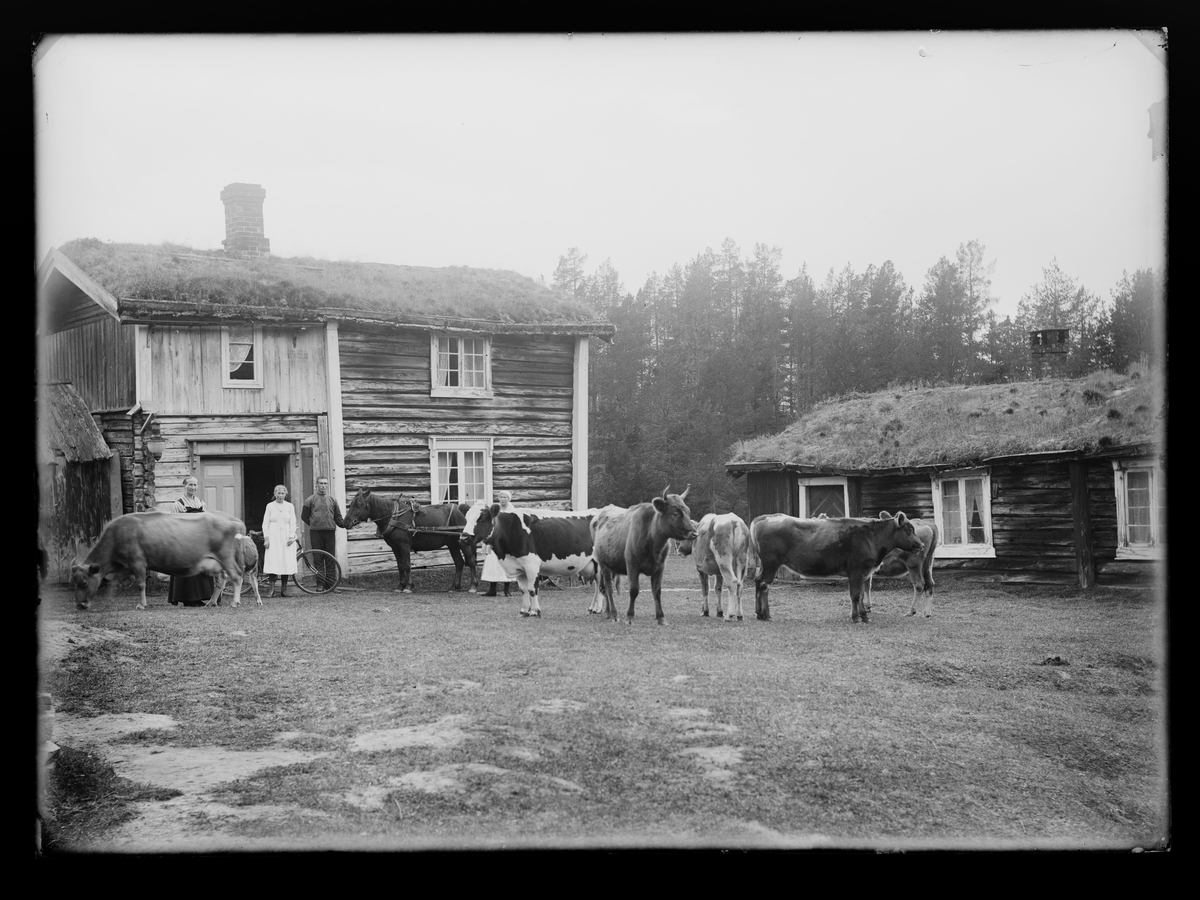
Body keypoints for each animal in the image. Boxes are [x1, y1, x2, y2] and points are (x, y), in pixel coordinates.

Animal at [70, 511, 248, 609]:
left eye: (84, 583)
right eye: (73, 582)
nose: (79, 605)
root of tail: (232, 519)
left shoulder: (138, 562)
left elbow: (141, 584)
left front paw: (141, 604)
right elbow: (112, 585)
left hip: (225, 557)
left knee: (237, 576)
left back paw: (234, 602)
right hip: (216, 563)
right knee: (221, 581)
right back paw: (211, 602)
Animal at [343, 489, 477, 595]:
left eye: (360, 504)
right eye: (352, 503)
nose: (346, 522)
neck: (394, 517)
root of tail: (461, 509)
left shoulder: (404, 545)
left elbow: (407, 565)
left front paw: (408, 586)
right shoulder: (395, 547)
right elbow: (400, 566)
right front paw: (400, 586)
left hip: (462, 542)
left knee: (470, 561)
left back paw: (473, 586)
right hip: (452, 544)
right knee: (459, 563)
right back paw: (454, 587)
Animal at [588, 487, 700, 628]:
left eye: (688, 511)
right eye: (675, 513)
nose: (695, 533)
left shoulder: (660, 568)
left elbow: (657, 592)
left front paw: (661, 617)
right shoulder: (632, 566)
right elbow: (634, 590)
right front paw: (630, 617)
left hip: (611, 565)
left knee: (605, 588)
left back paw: (608, 613)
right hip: (604, 565)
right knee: (608, 588)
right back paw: (613, 614)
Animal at [748, 513, 926, 628]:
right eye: (909, 530)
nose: (921, 545)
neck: (871, 536)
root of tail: (765, 517)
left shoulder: (862, 573)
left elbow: (861, 595)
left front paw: (861, 616)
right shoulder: (856, 571)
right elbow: (855, 595)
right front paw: (858, 617)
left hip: (765, 565)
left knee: (758, 581)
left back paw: (759, 613)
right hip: (771, 563)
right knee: (764, 585)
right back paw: (766, 614)